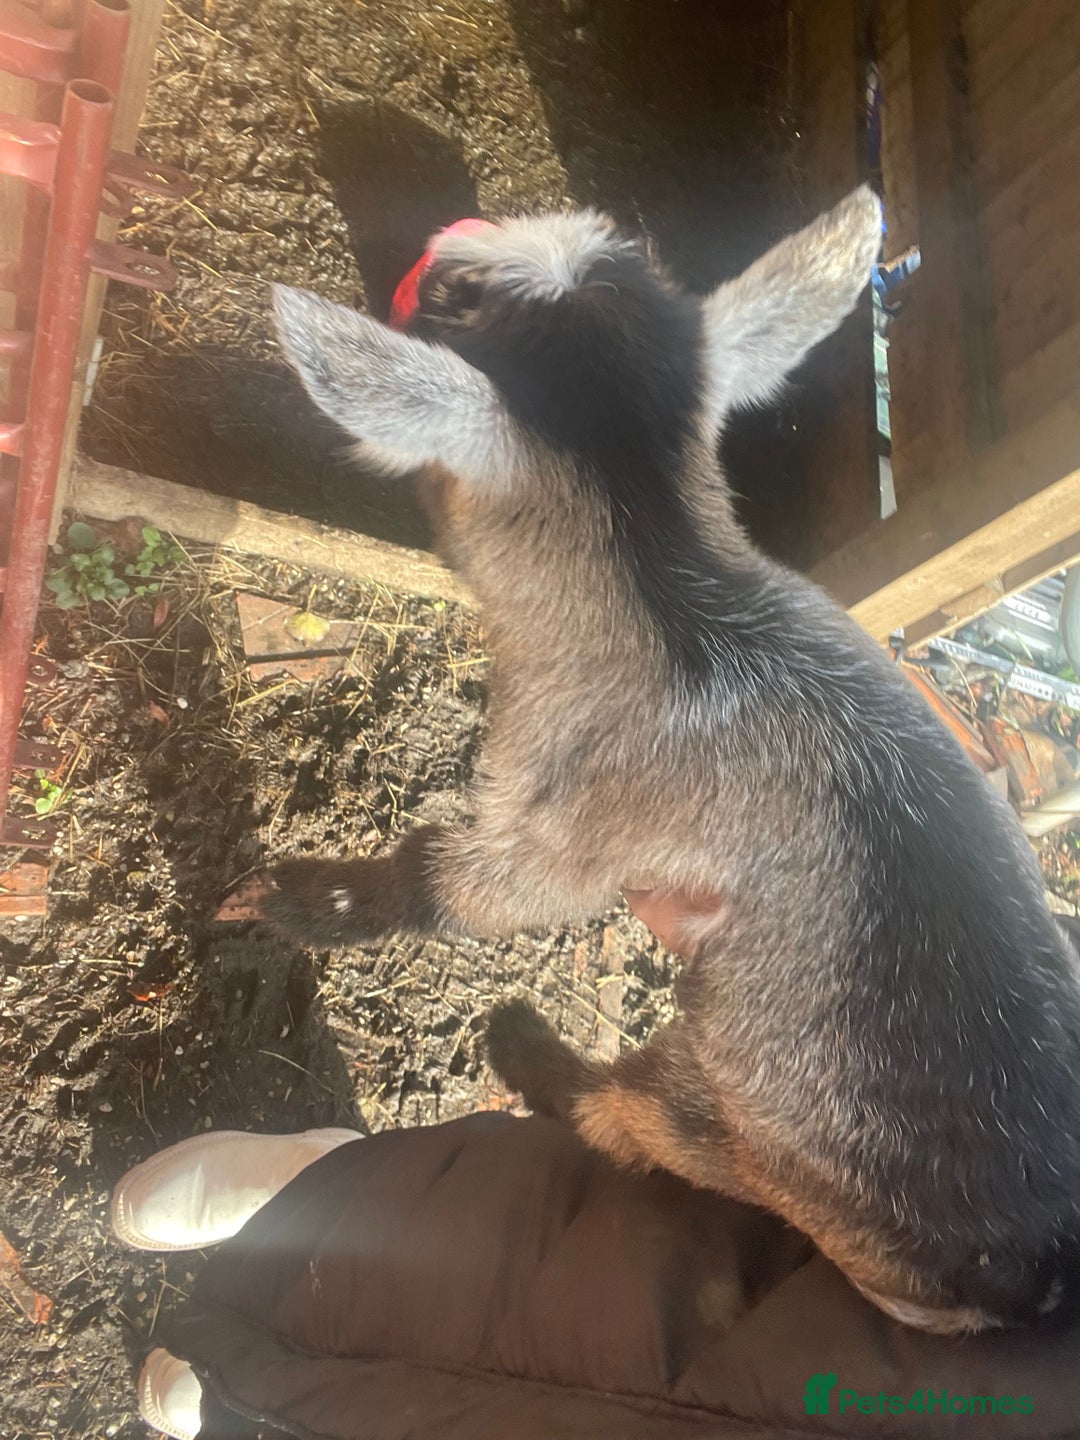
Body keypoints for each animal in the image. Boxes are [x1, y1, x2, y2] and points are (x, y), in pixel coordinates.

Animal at [265, 190, 1080, 1335]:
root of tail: (1033, 1272)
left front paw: (301, 904)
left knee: (628, 1122)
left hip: (735, 1106)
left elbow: (469, 890)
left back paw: (526, 1051)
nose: (441, 240)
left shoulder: (574, 812)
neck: (670, 600)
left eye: (450, 299)